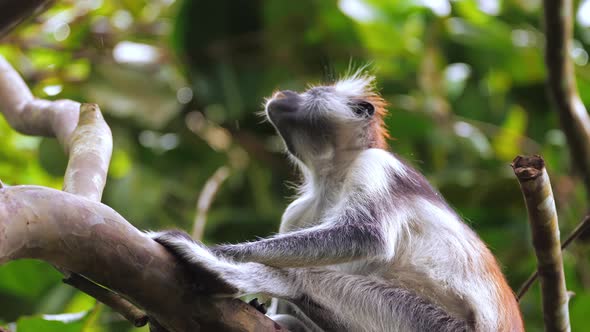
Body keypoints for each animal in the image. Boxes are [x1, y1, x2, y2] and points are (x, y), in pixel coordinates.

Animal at [150, 72, 524, 332]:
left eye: (312, 92)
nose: (286, 94)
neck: (332, 178)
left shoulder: (376, 164)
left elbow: (366, 235)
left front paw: (220, 253)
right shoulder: (298, 212)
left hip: (432, 325)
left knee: (303, 277)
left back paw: (222, 272)